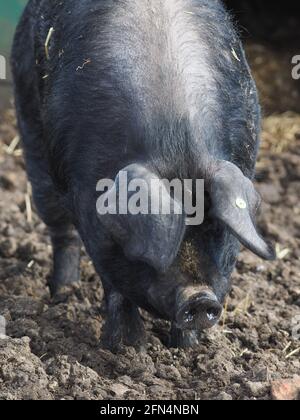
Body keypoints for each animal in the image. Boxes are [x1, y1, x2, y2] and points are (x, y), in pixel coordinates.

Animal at [11, 0, 274, 348]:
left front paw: (186, 349)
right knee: (60, 230)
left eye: (218, 230)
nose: (199, 298)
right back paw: (63, 293)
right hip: (31, 127)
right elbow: (115, 284)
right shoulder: (90, 211)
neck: (176, 138)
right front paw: (128, 346)